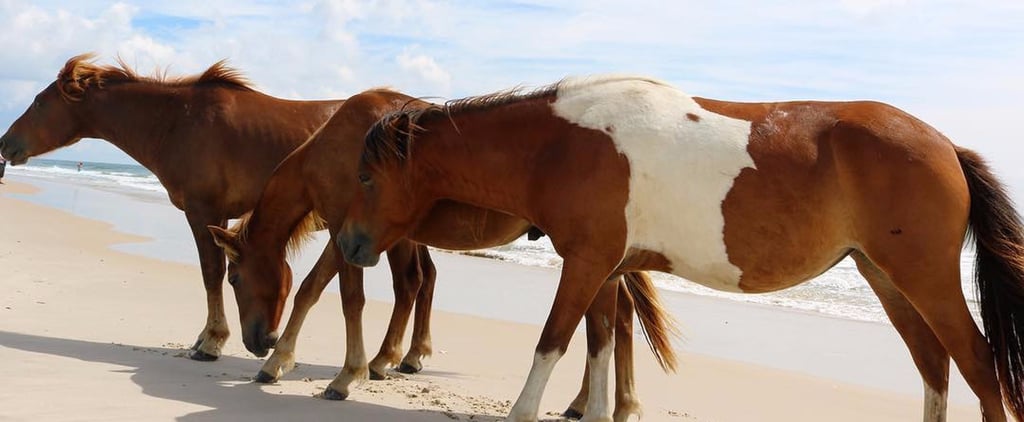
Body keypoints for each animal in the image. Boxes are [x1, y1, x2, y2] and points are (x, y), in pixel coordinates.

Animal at [0, 54, 345, 361]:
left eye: (39, 103)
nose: (4, 142)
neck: (178, 121)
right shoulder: (219, 218)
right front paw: (207, 338)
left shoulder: (204, 211)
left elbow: (211, 274)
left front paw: (211, 341)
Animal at [207, 88, 678, 420]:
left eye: (234, 277)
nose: (257, 341)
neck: (328, 149)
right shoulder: (351, 236)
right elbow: (313, 289)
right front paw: (281, 362)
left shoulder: (346, 231)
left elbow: (345, 297)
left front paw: (342, 374)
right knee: (614, 318)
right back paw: (599, 403)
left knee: (616, 318)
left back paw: (608, 404)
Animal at [338, 75, 1024, 422]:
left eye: (366, 177)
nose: (347, 244)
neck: (560, 144)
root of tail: (945, 145)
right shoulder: (605, 268)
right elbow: (600, 346)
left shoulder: (586, 263)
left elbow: (553, 344)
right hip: (886, 278)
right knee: (934, 367)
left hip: (925, 278)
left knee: (977, 365)